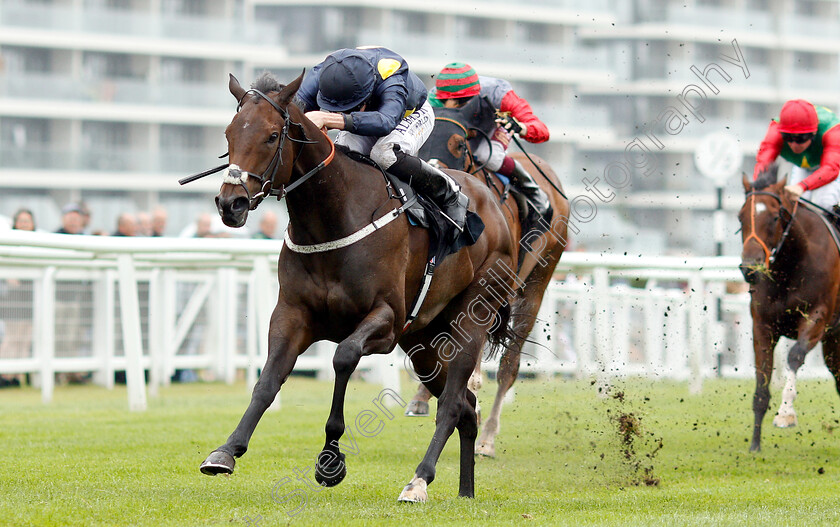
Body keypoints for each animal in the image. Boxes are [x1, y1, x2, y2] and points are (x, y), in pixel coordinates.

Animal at [202, 73, 520, 504]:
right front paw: (226, 451)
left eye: (271, 136)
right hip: (425, 340)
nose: (230, 204)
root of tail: (497, 209)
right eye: (229, 133)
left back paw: (418, 481)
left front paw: (330, 460)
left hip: (472, 316)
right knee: (467, 408)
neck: (333, 216)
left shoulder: (386, 320)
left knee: (454, 404)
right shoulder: (292, 314)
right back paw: (465, 491)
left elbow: (344, 357)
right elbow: (268, 381)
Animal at [410, 95, 576, 458]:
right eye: (422, 138)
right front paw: (422, 397)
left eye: (459, 143)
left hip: (538, 279)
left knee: (509, 365)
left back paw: (486, 437)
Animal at [740, 170, 840, 454]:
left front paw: (785, 414)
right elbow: (761, 385)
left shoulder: (817, 317)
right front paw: (755, 444)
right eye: (741, 217)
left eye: (775, 217)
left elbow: (795, 356)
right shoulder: (762, 327)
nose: (749, 268)